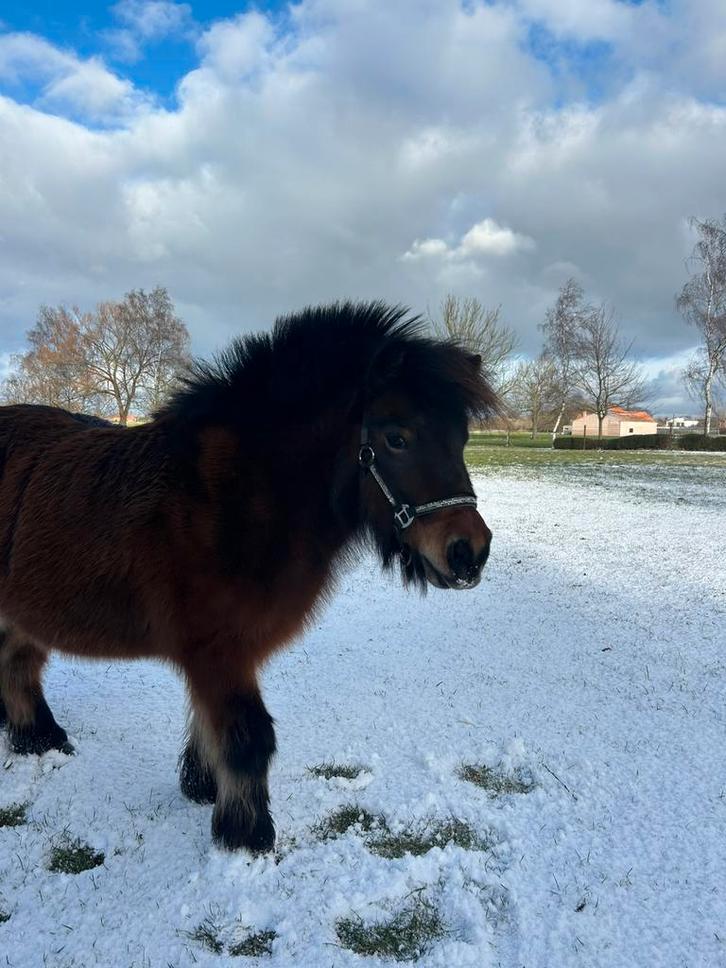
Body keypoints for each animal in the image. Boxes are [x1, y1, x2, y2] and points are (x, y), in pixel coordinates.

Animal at [0, 301, 496, 853]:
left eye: (462, 439)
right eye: (397, 438)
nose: (469, 553)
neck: (236, 499)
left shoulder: (217, 656)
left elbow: (210, 725)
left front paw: (202, 787)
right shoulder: (219, 651)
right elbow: (249, 738)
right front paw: (247, 833)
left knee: (17, 661)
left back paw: (37, 737)